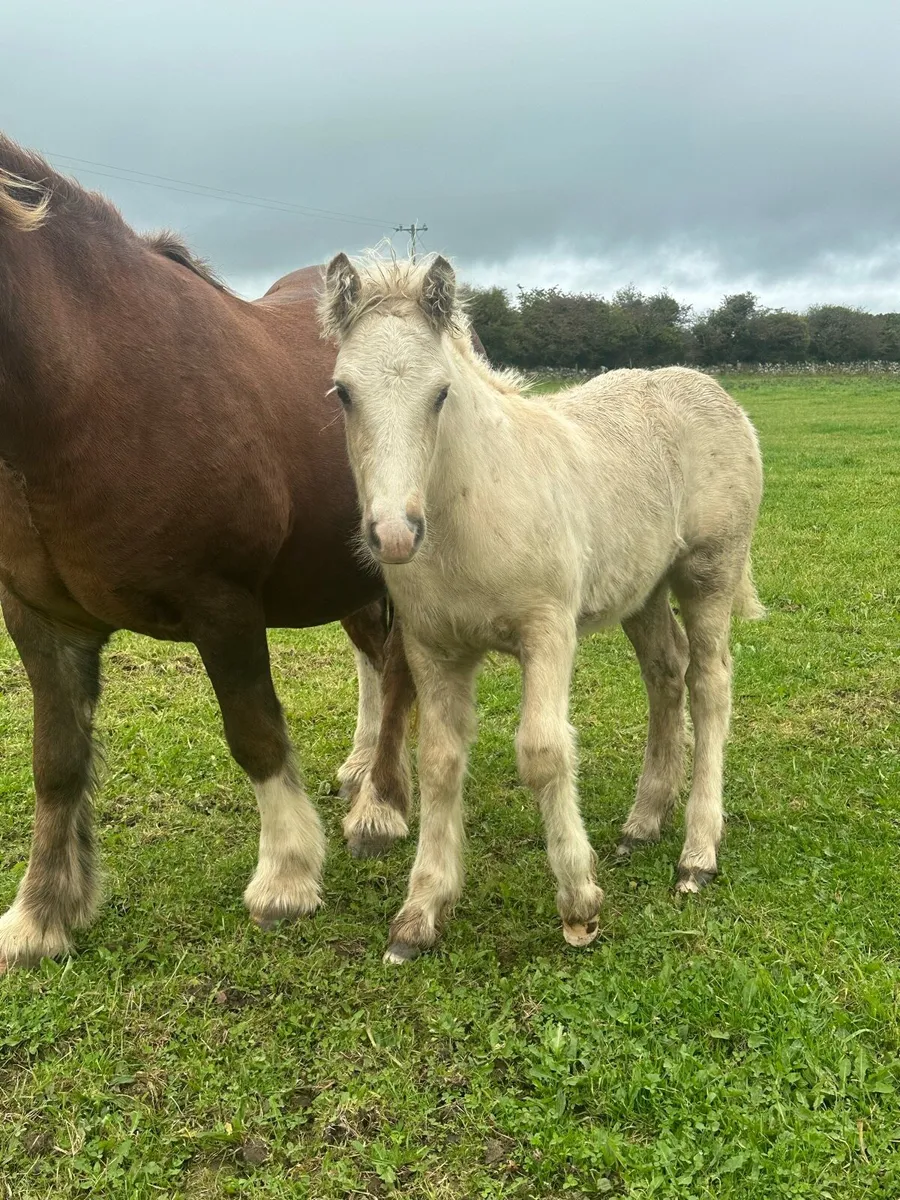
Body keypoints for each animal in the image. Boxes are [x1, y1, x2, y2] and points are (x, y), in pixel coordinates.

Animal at [0, 137, 417, 971]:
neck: (85, 386)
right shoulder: (38, 620)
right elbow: (55, 761)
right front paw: (41, 913)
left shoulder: (221, 603)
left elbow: (254, 733)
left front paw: (286, 876)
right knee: (373, 653)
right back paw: (362, 772)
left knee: (399, 670)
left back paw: (381, 806)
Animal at [320, 251, 765, 963]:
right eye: (343, 392)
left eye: (440, 393)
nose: (394, 534)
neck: (471, 510)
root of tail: (715, 391)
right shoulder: (433, 647)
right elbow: (440, 762)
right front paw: (419, 913)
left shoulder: (548, 629)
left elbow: (543, 752)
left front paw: (580, 904)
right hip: (642, 589)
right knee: (666, 675)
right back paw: (643, 822)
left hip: (708, 572)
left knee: (711, 683)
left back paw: (697, 854)